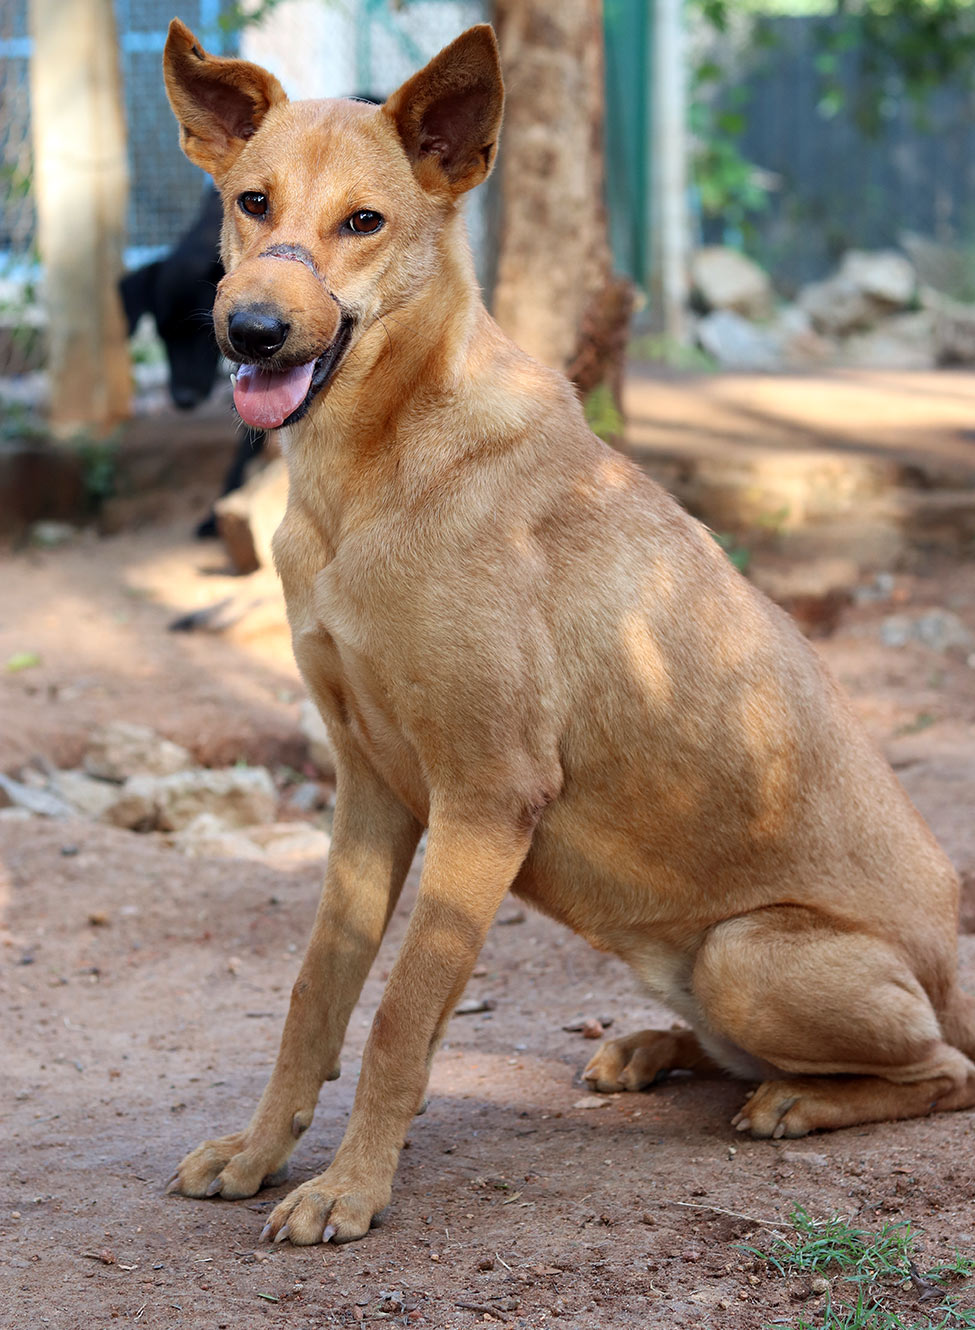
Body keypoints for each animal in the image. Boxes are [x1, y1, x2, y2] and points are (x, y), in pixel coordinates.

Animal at [161, 19, 975, 1247]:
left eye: (364, 221)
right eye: (252, 203)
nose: (249, 330)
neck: (372, 473)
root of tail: (954, 969)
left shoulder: (485, 798)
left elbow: (398, 1017)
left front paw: (351, 1189)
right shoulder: (370, 790)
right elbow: (316, 993)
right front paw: (260, 1152)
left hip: (748, 953)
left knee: (943, 1072)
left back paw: (796, 1100)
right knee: (748, 1050)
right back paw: (649, 1048)